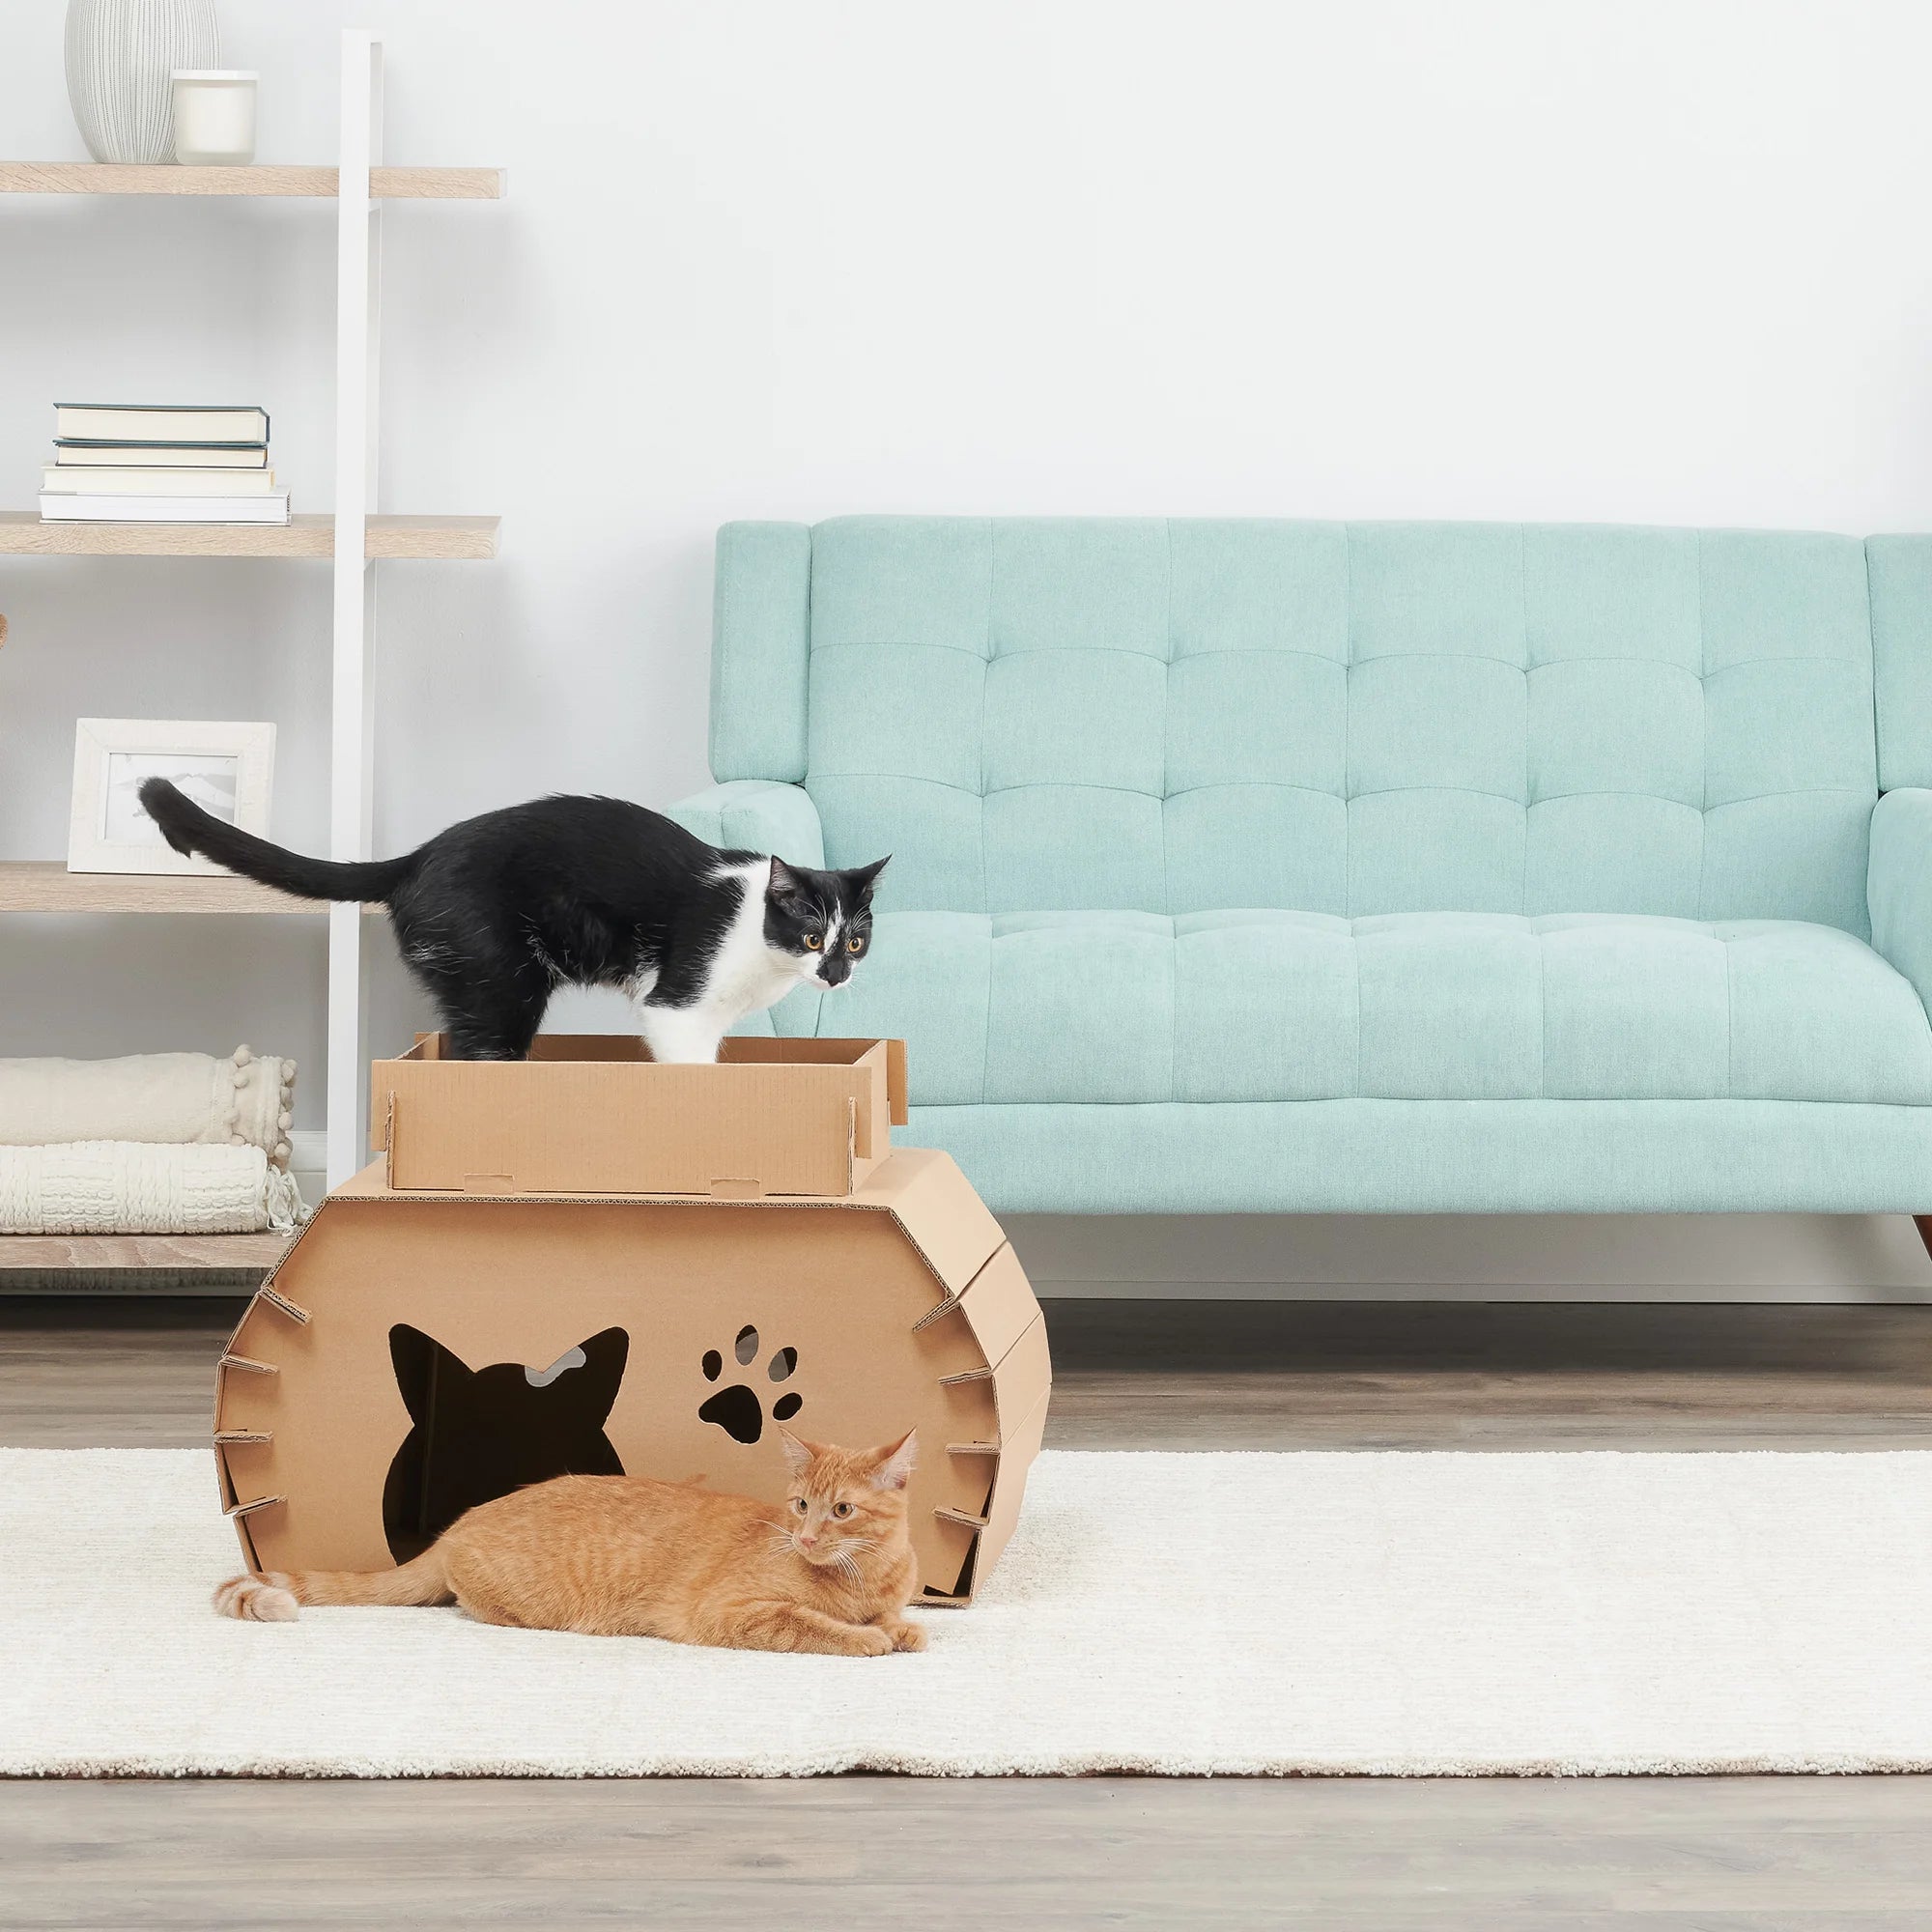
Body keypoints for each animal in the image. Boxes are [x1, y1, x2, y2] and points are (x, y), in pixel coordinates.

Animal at [141, 781, 889, 1066]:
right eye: (812, 936)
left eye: (855, 940)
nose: (836, 973)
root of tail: (419, 856)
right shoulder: (678, 1007)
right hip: (498, 983)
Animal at [215, 1422, 923, 1662]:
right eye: (801, 1505)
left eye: (840, 1510)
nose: (804, 1536)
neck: (864, 1577)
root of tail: (457, 1526)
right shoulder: (732, 1613)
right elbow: (814, 1626)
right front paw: (869, 1638)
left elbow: (902, 1620)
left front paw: (901, 1628)